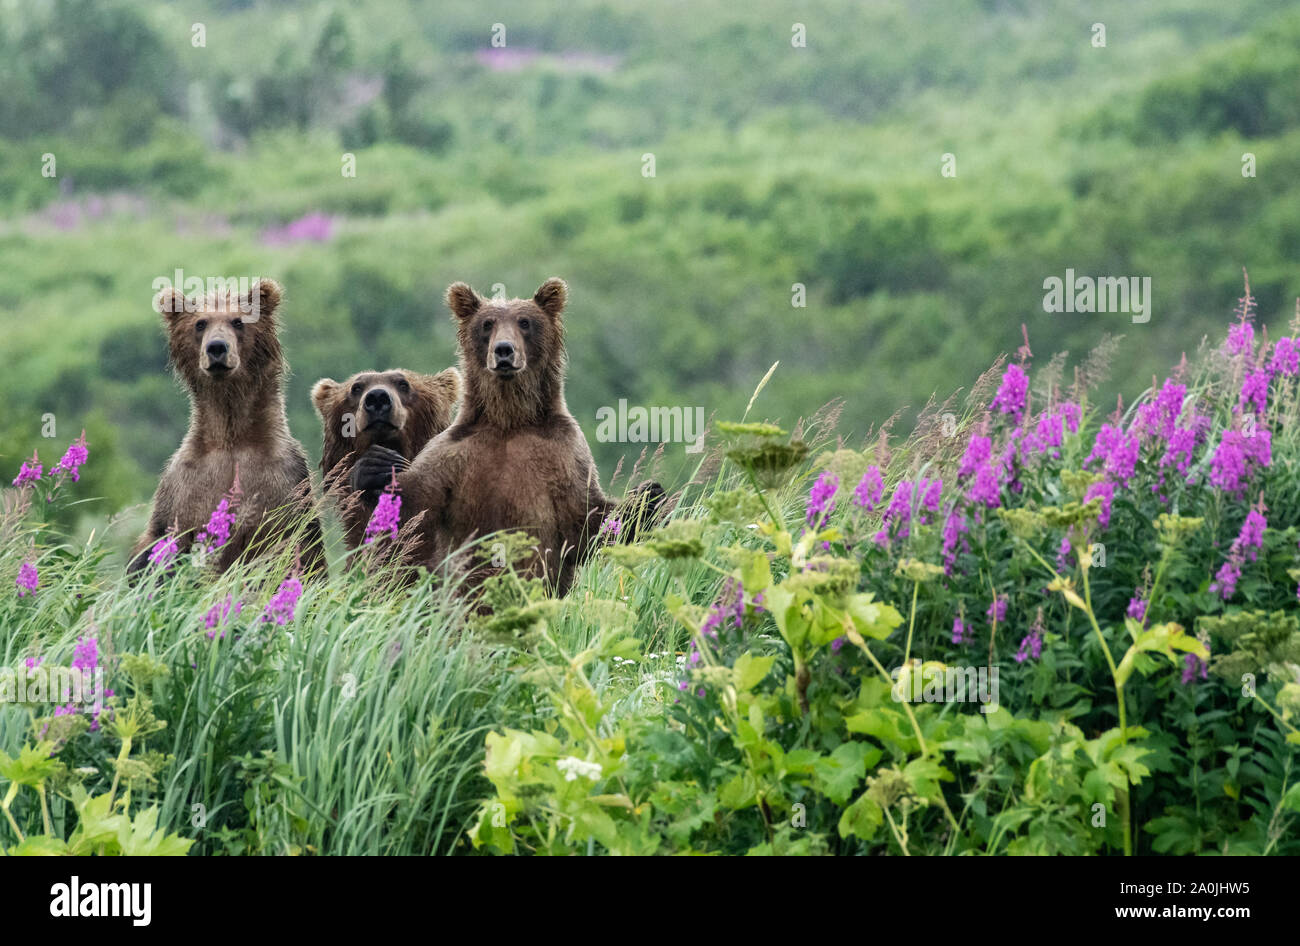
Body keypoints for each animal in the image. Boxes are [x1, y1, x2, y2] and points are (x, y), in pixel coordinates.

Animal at [128, 276, 325, 576]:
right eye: (200, 323)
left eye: (238, 321)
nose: (217, 348)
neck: (231, 435)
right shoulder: (184, 487)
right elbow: (158, 546)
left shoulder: (284, 484)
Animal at [348, 276, 660, 595]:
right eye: (487, 324)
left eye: (525, 322)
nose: (504, 350)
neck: (509, 420)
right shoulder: (452, 454)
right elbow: (414, 515)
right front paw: (374, 468)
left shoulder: (563, 451)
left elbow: (585, 521)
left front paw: (647, 496)